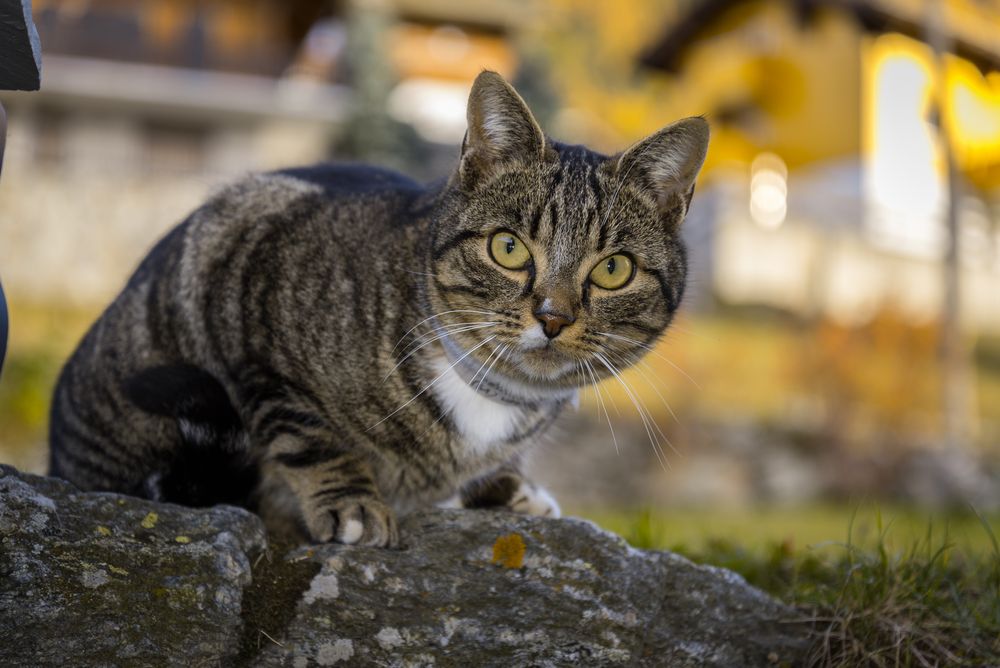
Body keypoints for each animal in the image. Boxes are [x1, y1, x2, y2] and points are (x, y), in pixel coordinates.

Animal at [45, 70, 704, 544]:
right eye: (509, 248)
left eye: (613, 270)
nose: (553, 316)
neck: (494, 395)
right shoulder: (246, 282)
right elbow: (304, 428)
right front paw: (354, 501)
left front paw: (508, 487)